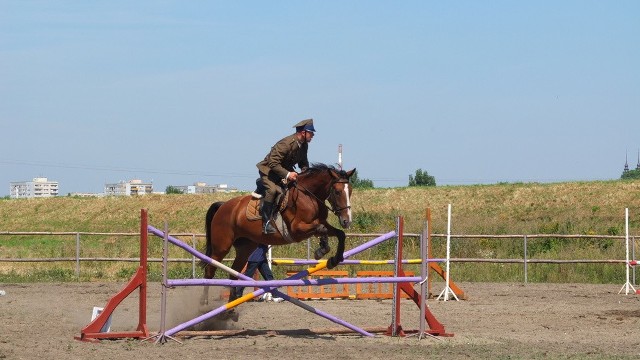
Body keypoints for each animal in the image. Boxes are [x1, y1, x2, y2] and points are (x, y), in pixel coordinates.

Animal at [200, 165, 356, 306]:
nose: (347, 221)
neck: (309, 197)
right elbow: (321, 229)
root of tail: (223, 205)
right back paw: (204, 303)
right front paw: (321, 251)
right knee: (209, 270)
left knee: (234, 272)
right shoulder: (297, 230)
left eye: (350, 191)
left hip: (245, 247)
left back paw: (231, 306)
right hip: (222, 246)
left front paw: (333, 260)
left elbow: (339, 234)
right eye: (337, 192)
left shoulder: (321, 224)